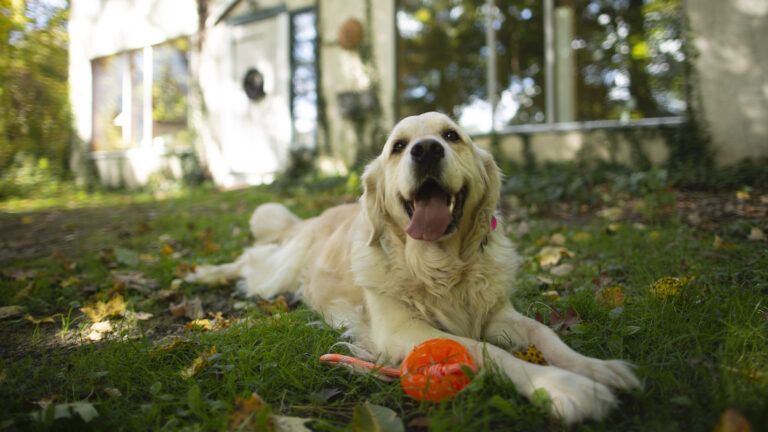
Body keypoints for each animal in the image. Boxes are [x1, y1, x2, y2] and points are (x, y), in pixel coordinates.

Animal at [188, 112, 640, 426]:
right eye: (398, 146)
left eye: (452, 136)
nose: (425, 150)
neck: (440, 267)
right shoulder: (402, 330)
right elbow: (486, 350)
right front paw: (564, 387)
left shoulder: (497, 313)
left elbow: (544, 334)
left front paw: (597, 369)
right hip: (277, 274)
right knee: (249, 261)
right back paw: (204, 274)